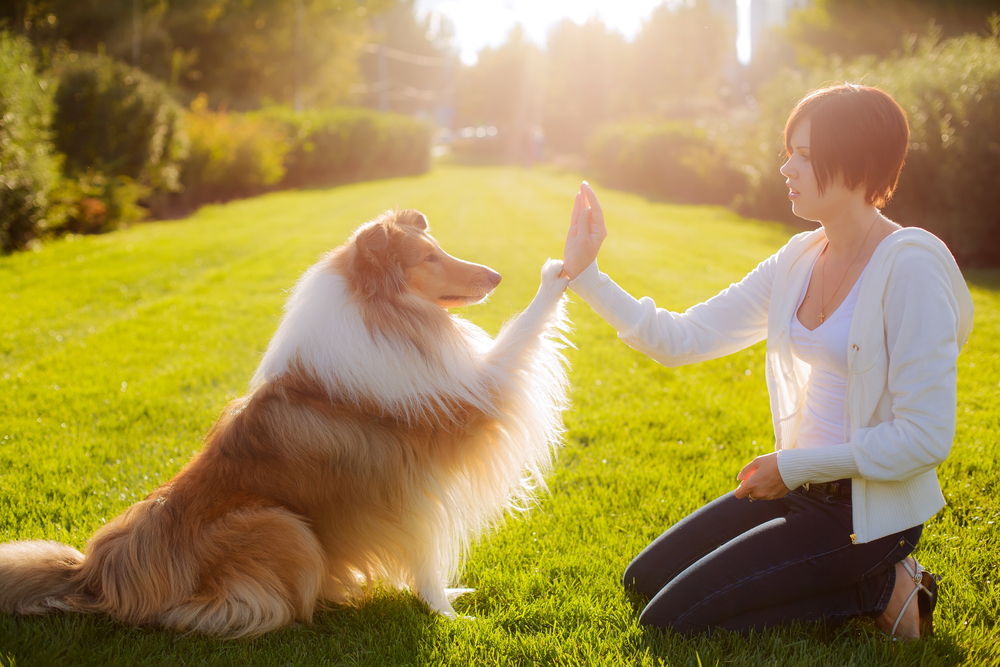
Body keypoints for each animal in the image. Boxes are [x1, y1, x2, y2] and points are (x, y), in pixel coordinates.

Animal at [0, 209, 572, 636]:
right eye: (429, 257)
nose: (497, 277)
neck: (382, 316)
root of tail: (93, 574)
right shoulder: (457, 424)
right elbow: (521, 332)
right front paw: (449, 615)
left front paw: (446, 600)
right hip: (281, 524)